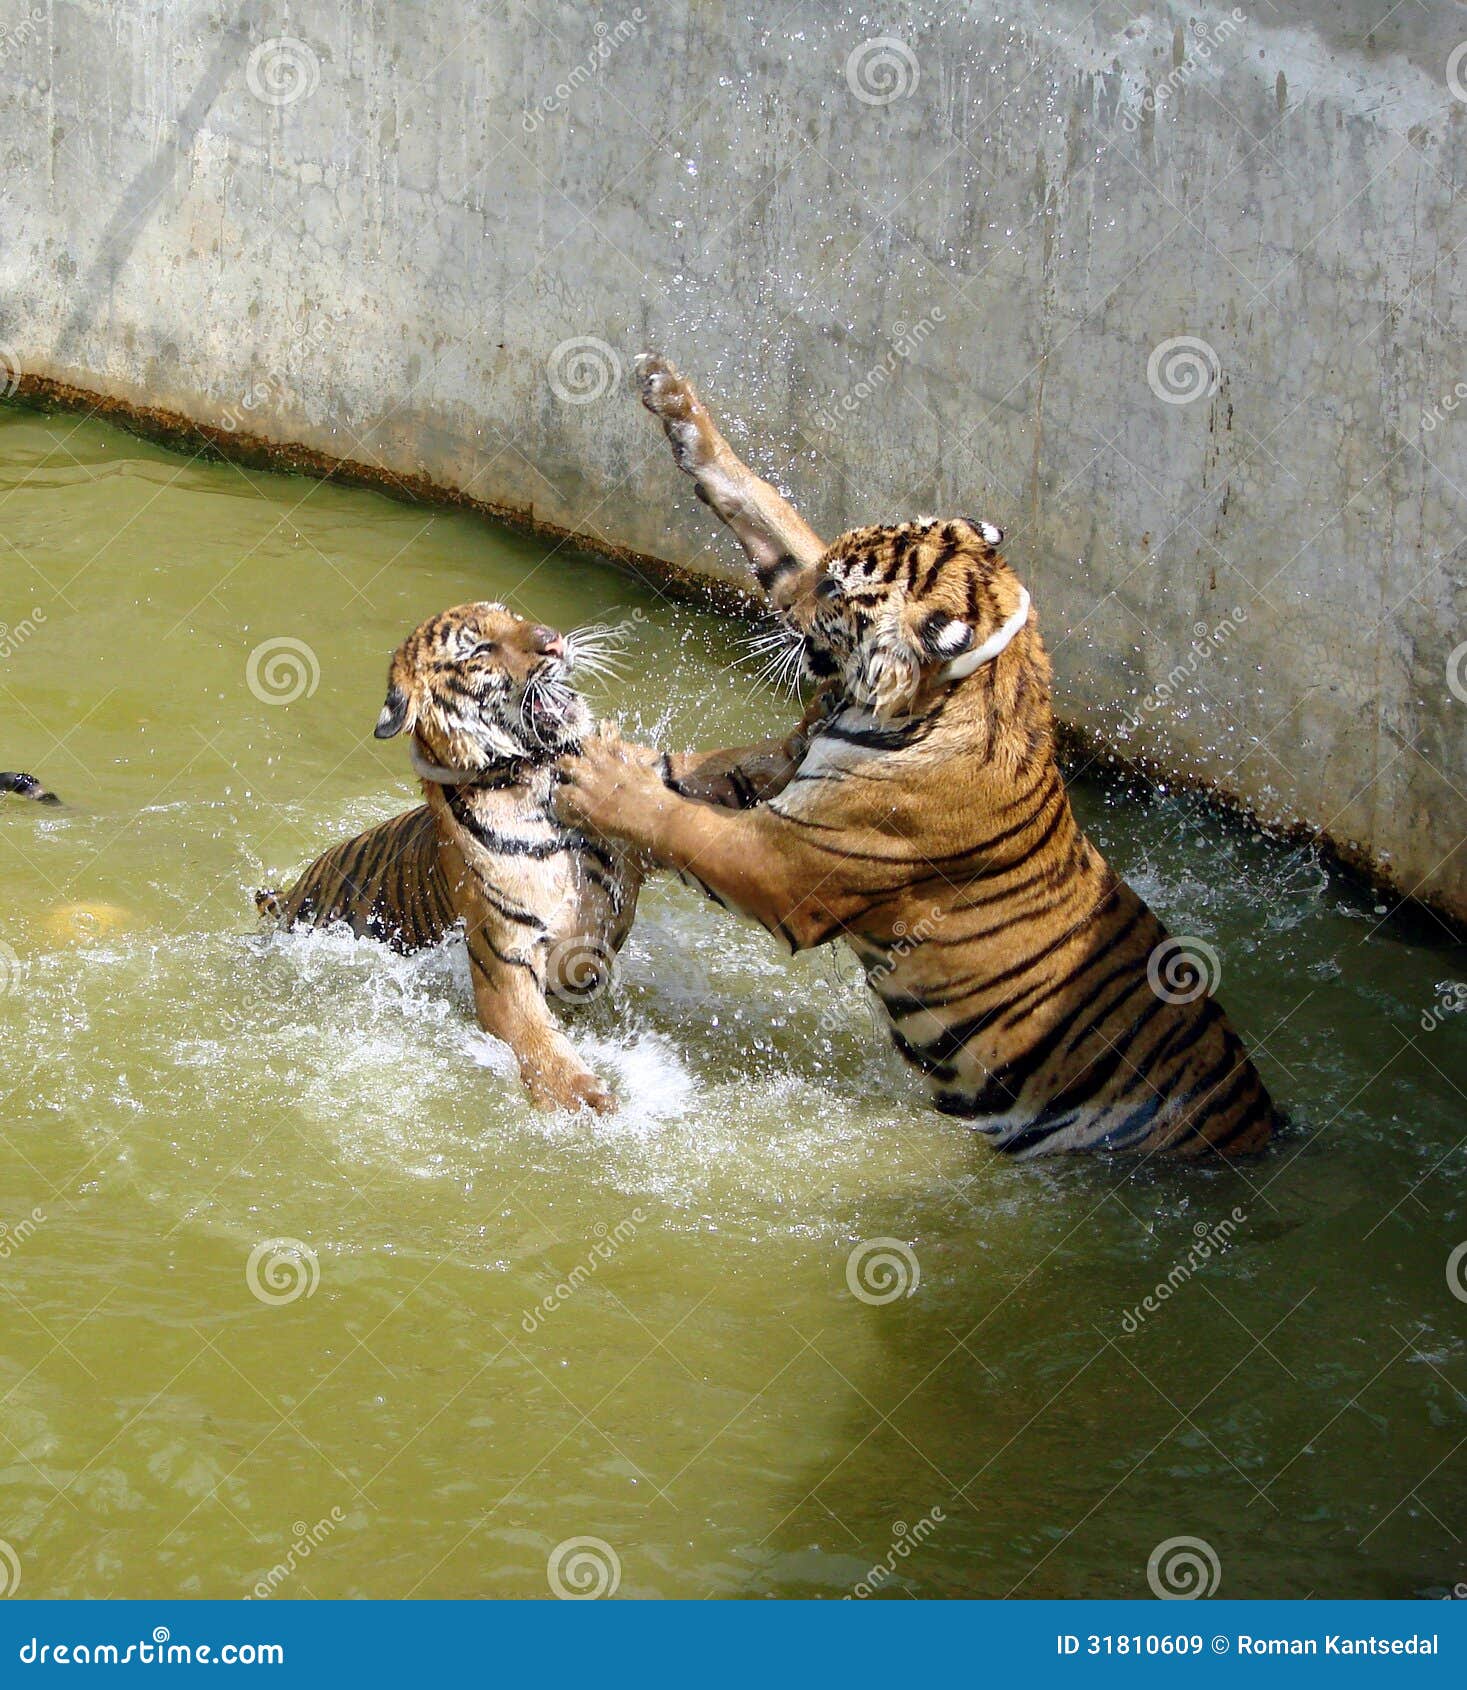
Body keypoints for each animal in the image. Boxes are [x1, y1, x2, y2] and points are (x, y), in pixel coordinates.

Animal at [258, 601, 652, 1115]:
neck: (530, 785)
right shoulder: (504, 960)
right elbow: (538, 1042)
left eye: (514, 616)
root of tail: (290, 893)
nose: (553, 639)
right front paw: (584, 1100)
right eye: (480, 648)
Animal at [544, 349, 1277, 1155]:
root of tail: (1267, 1128)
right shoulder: (783, 762)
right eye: (827, 566)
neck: (933, 693)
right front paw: (673, 401)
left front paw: (595, 777)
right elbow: (766, 512)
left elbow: (679, 820)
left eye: (836, 591)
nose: (786, 602)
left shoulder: (786, 864)